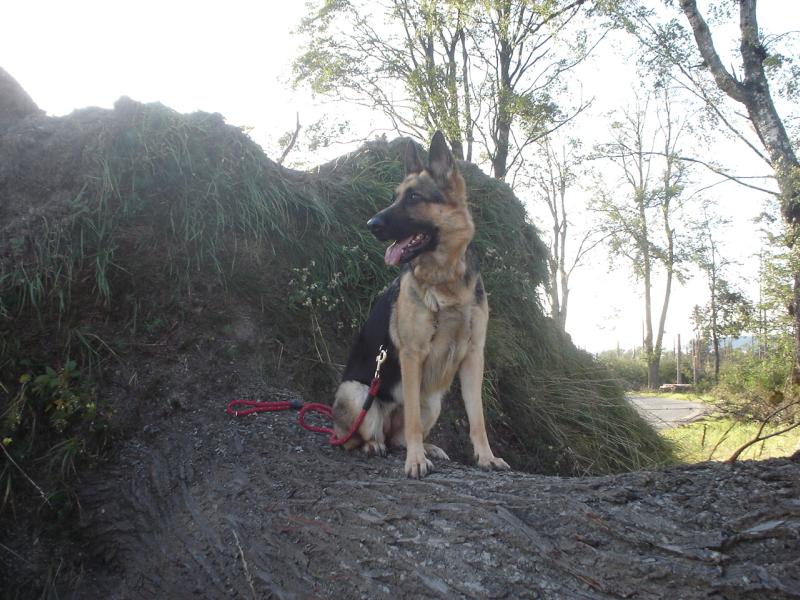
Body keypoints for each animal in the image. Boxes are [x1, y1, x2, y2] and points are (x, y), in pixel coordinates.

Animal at [332, 131, 509, 479]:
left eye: (414, 197)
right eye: (395, 197)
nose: (371, 224)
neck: (445, 281)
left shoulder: (473, 357)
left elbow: (477, 419)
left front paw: (486, 457)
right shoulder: (412, 356)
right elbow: (412, 419)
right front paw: (415, 461)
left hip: (433, 401)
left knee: (398, 437)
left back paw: (427, 447)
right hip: (357, 393)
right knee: (360, 437)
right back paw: (374, 445)